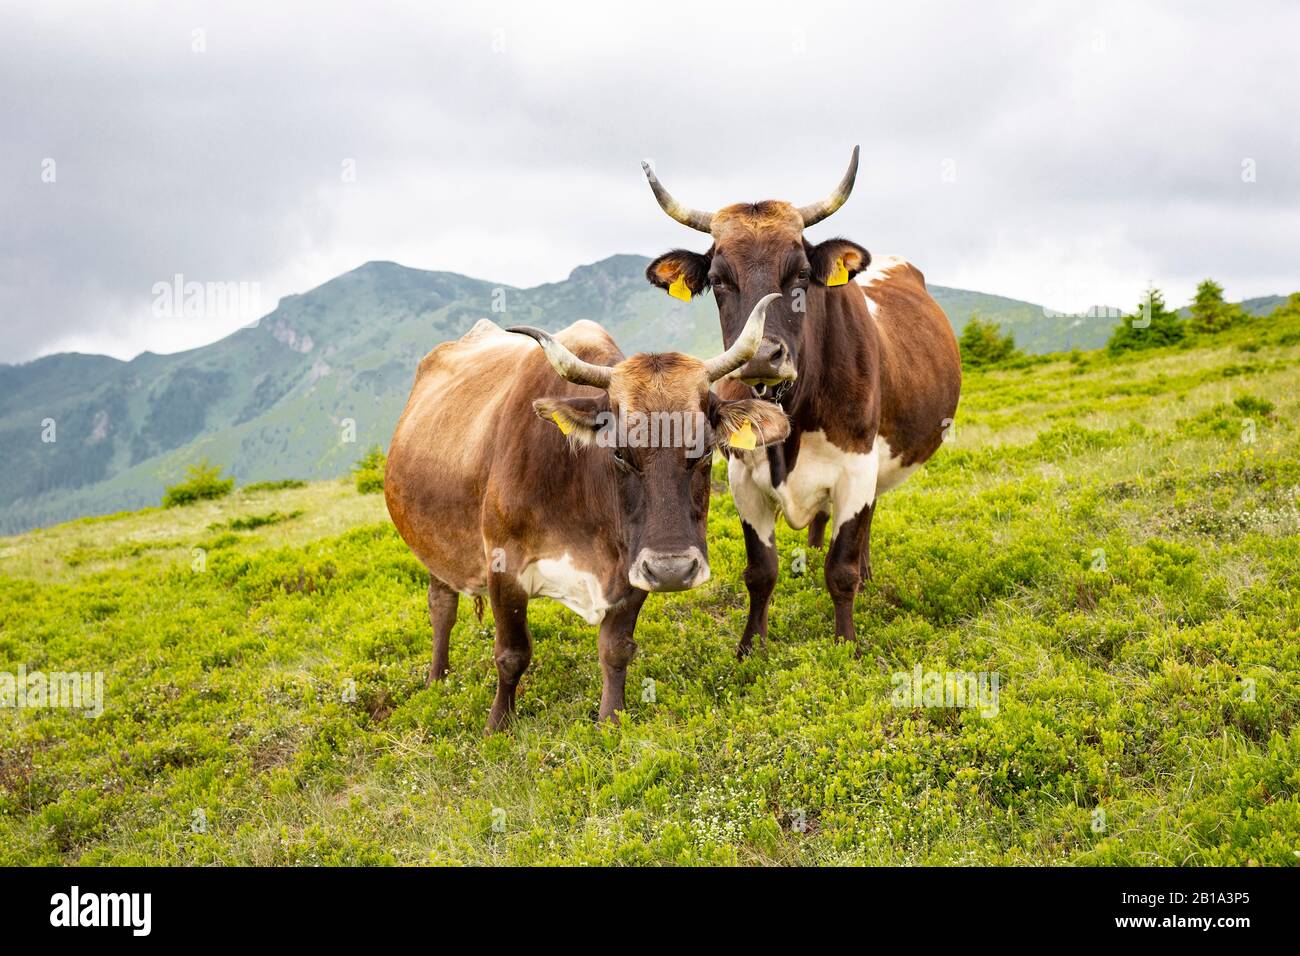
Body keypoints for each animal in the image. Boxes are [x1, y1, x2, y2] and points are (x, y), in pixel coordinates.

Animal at [382, 299, 790, 733]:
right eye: (619, 452)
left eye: (706, 449)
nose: (673, 571)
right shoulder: (503, 566)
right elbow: (511, 654)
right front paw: (497, 725)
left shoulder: (634, 565)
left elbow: (616, 648)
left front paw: (610, 719)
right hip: (434, 547)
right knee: (441, 607)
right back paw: (436, 679)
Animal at [642, 147, 961, 658]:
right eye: (718, 280)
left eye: (802, 275)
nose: (761, 356)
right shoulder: (742, 478)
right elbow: (760, 572)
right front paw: (750, 647)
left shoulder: (856, 467)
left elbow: (842, 569)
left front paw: (846, 643)